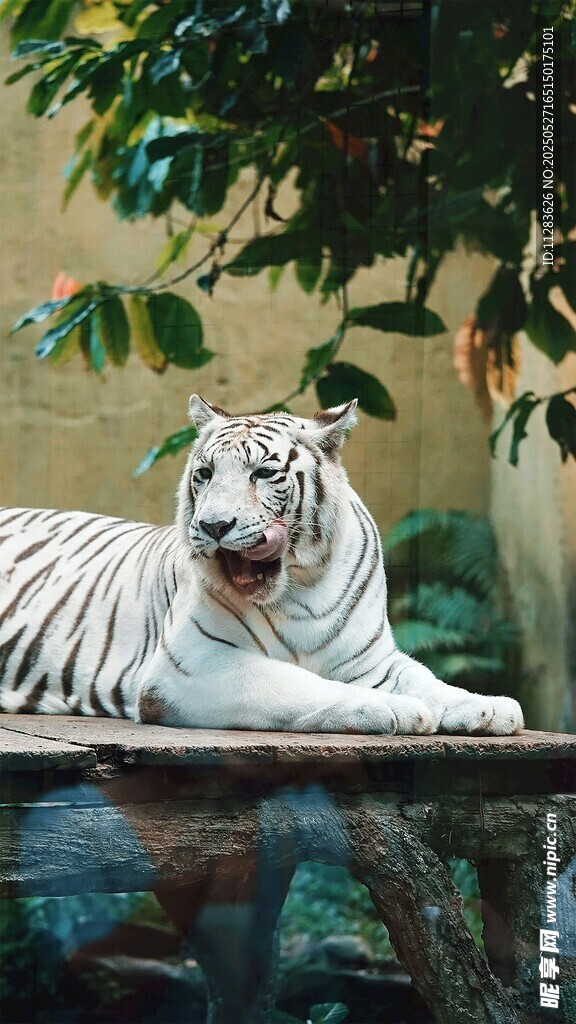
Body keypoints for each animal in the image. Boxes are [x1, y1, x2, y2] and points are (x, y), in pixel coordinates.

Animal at [0, 394, 524, 735]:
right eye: (205, 474)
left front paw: (489, 708)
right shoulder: (193, 665)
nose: (213, 525)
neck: (303, 587)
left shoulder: (371, 660)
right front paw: (398, 710)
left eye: (264, 473)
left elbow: (428, 679)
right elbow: (303, 686)